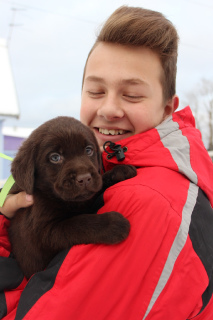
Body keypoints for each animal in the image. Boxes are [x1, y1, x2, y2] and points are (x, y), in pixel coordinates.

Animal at [8, 116, 136, 278]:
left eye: (88, 150)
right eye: (55, 157)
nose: (84, 178)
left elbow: (98, 186)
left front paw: (121, 171)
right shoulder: (44, 231)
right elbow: (80, 223)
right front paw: (113, 223)